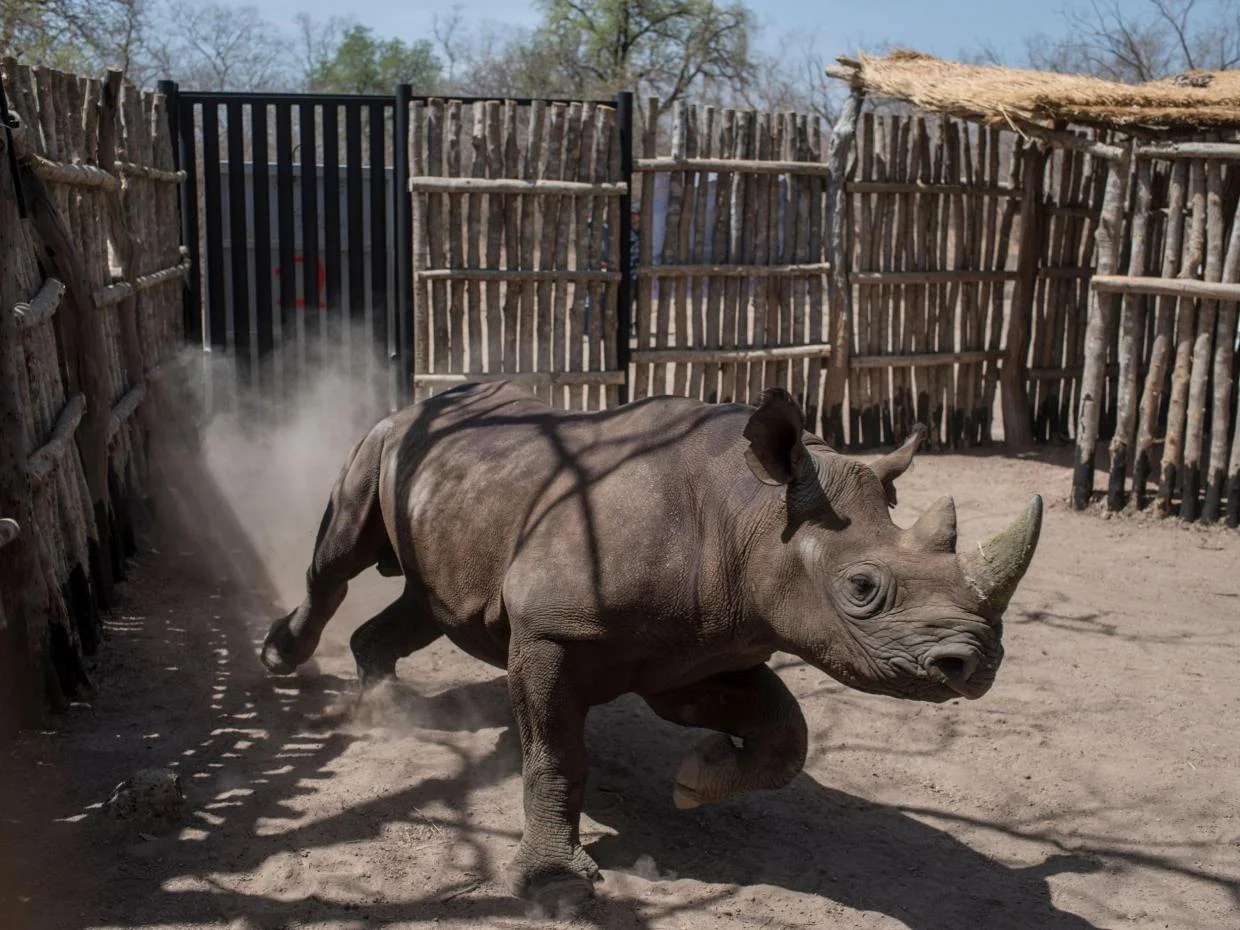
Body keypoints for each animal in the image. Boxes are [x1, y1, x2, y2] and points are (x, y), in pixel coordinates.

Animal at [260, 382, 1042, 908]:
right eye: (862, 588)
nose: (973, 663)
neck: (752, 513)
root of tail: (411, 403)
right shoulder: (551, 631)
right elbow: (556, 753)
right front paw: (554, 888)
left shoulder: (704, 645)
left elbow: (787, 734)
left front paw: (697, 779)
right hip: (380, 445)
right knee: (339, 559)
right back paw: (282, 661)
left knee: (429, 604)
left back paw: (389, 709)